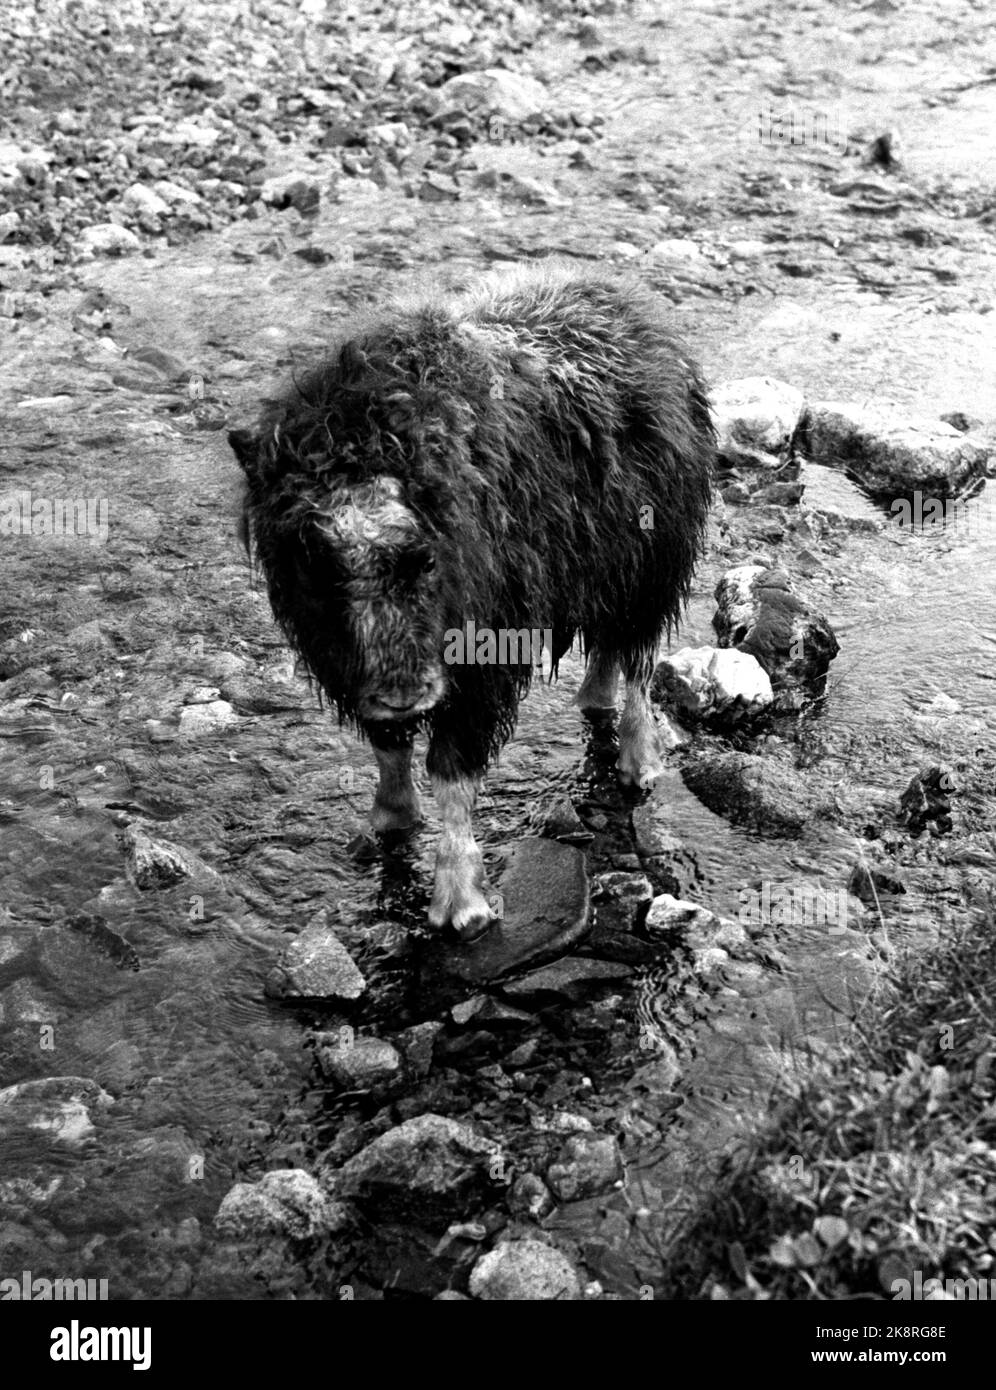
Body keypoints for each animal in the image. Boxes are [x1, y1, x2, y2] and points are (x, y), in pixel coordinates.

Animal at [230, 262, 716, 934]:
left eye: (425, 558)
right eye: (315, 562)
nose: (402, 693)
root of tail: (647, 318)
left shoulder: (480, 665)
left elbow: (452, 772)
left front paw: (461, 905)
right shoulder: (350, 665)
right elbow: (388, 748)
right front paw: (389, 820)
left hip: (652, 569)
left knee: (639, 661)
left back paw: (638, 763)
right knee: (609, 652)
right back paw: (591, 700)